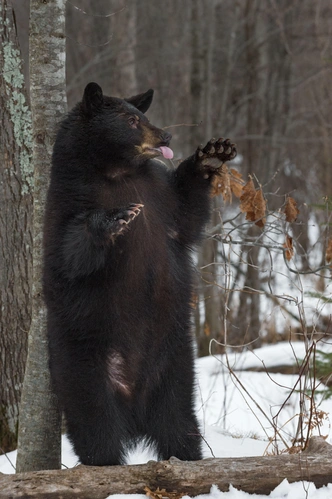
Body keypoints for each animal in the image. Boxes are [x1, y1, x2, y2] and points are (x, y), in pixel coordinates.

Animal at [43, 80, 236, 466]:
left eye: (143, 115)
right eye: (131, 121)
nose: (166, 134)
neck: (119, 173)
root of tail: (133, 410)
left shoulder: (160, 198)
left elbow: (186, 215)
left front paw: (212, 154)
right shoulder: (67, 199)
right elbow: (69, 252)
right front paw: (115, 218)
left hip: (175, 367)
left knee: (179, 423)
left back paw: (187, 457)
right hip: (83, 362)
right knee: (95, 424)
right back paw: (103, 461)